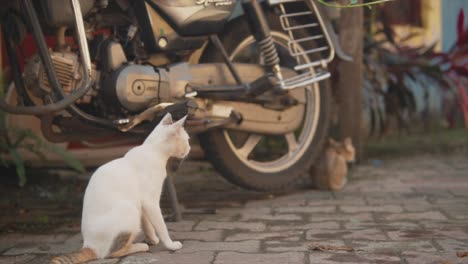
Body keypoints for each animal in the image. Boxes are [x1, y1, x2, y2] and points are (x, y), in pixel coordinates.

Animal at [51, 113, 190, 264]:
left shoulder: (142, 205)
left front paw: (152, 239)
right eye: (187, 139)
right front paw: (170, 244)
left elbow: (147, 225)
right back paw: (140, 246)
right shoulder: (150, 202)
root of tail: (89, 245)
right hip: (130, 211)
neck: (152, 150)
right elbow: (161, 225)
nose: (189, 148)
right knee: (111, 253)